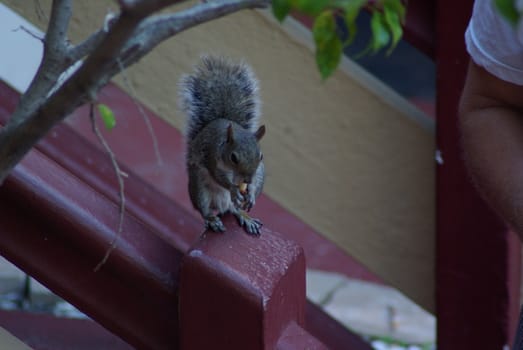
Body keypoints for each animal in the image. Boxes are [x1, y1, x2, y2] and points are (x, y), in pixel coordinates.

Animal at [179, 55, 266, 235]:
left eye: (261, 156)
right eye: (233, 157)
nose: (247, 179)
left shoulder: (258, 171)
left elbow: (253, 184)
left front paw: (251, 194)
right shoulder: (212, 157)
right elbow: (219, 178)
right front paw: (232, 188)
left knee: (234, 210)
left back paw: (245, 217)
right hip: (199, 188)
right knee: (204, 209)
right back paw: (212, 220)